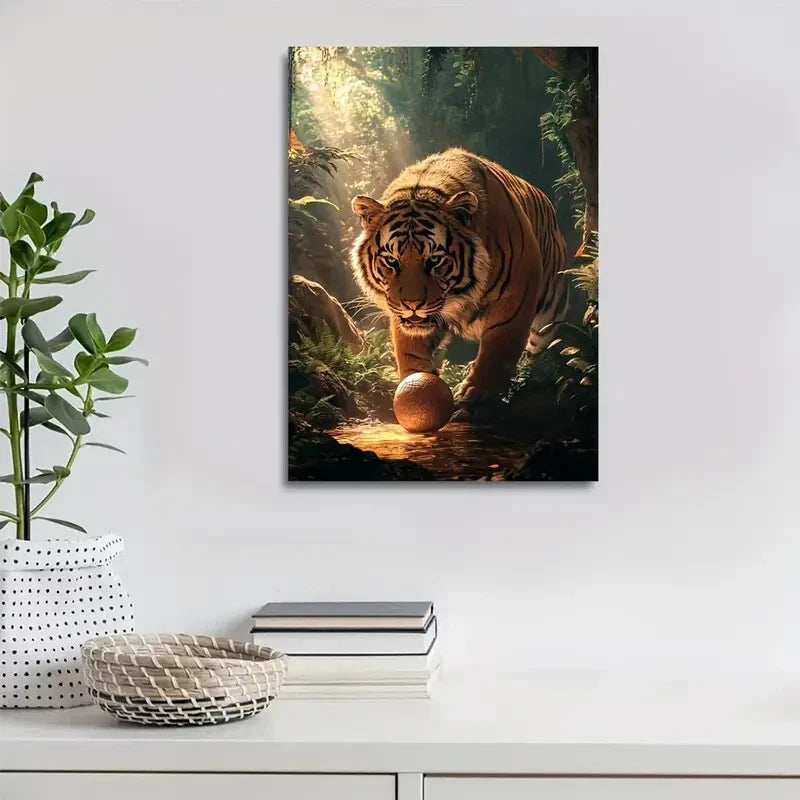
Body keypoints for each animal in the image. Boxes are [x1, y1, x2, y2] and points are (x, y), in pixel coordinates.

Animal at [350, 147, 568, 420]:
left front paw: (475, 397)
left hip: (550, 314)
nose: (411, 304)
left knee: (536, 348)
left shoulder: (515, 296)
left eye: (434, 260)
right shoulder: (405, 320)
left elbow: (497, 350)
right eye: (392, 261)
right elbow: (410, 353)